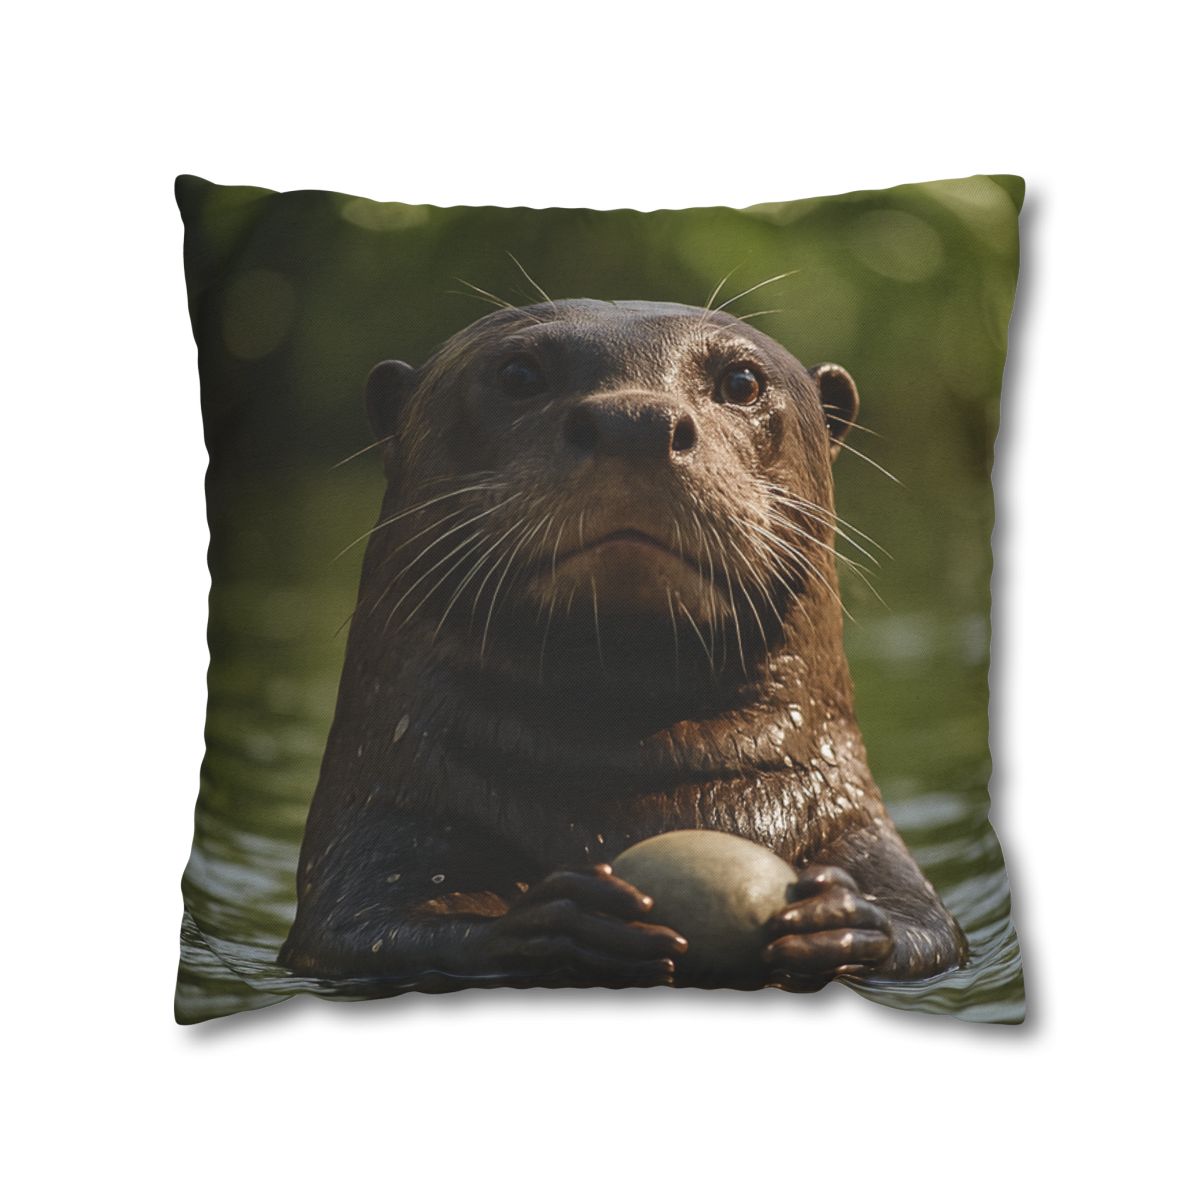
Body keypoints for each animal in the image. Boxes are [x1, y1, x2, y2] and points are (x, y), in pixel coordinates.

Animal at [280, 299, 967, 991]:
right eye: (518, 374)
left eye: (741, 382)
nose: (635, 421)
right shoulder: (380, 828)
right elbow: (369, 930)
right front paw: (564, 920)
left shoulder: (859, 829)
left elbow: (928, 932)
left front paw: (835, 919)